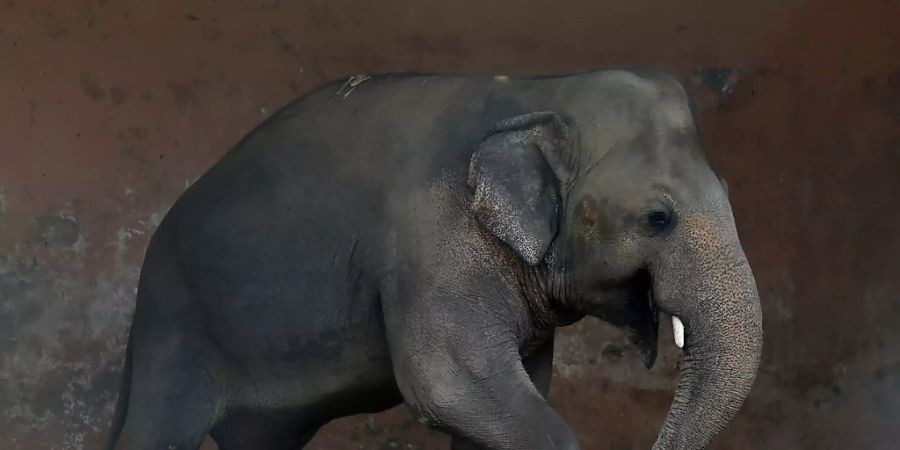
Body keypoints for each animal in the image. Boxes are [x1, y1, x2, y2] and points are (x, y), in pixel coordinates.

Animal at [107, 67, 768, 450]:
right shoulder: (431, 244)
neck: (537, 92)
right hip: (177, 322)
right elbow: (450, 385)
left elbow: (521, 385)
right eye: (659, 217)